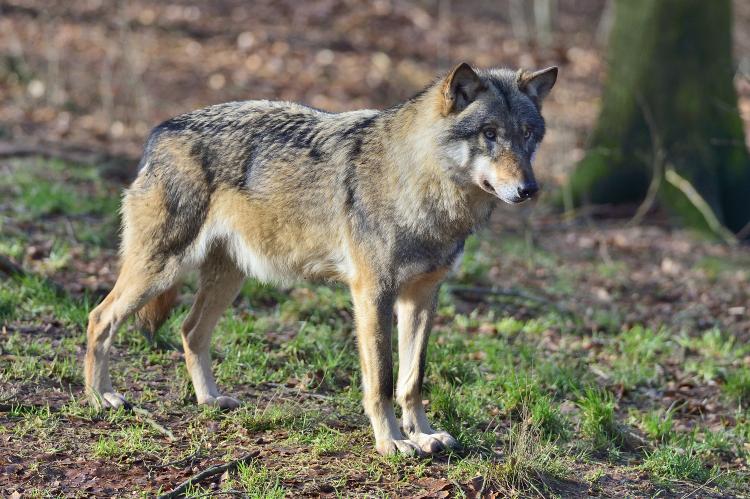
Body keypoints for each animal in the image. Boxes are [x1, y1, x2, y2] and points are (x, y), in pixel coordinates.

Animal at [86, 63, 560, 458]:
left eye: (527, 134)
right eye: (490, 133)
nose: (529, 189)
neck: (420, 185)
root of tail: (160, 130)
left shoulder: (423, 299)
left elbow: (413, 379)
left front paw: (423, 435)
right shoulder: (372, 295)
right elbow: (383, 380)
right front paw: (392, 443)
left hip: (228, 279)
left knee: (189, 331)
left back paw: (209, 400)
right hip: (160, 269)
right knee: (99, 318)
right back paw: (100, 397)